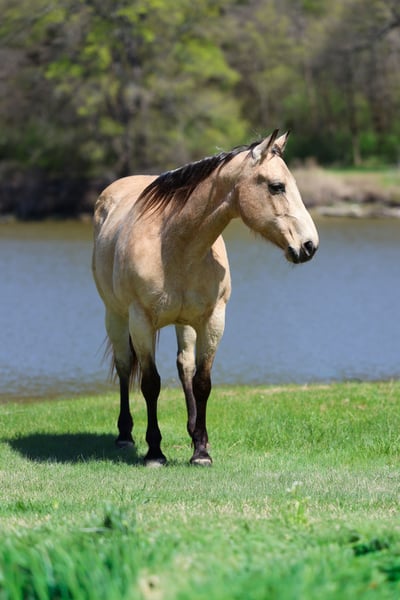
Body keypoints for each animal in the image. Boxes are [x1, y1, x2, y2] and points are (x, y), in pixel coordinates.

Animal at [92, 129, 319, 466]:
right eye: (277, 186)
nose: (309, 245)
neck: (173, 244)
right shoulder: (141, 321)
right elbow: (150, 383)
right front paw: (155, 451)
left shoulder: (212, 320)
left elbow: (202, 382)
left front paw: (201, 450)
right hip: (116, 316)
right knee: (123, 366)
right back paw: (124, 435)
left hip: (183, 323)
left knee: (184, 366)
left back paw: (191, 431)